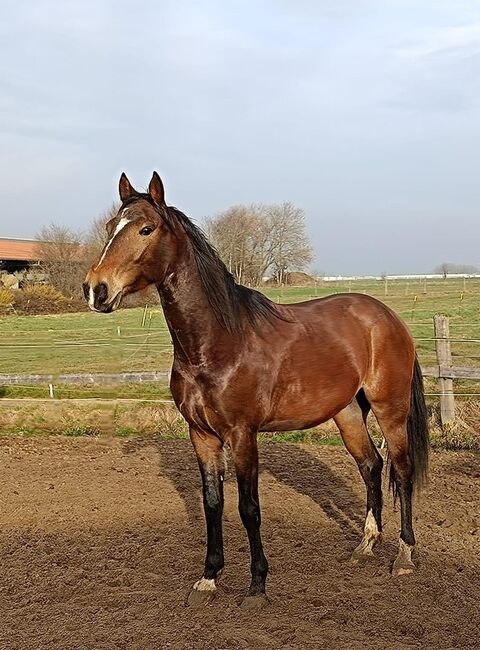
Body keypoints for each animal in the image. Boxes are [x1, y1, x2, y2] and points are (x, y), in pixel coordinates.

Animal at [82, 171, 428, 608]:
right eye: (112, 227)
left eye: (146, 228)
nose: (95, 289)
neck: (218, 343)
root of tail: (387, 316)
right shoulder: (202, 435)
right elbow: (213, 503)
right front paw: (208, 579)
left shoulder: (243, 434)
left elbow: (249, 507)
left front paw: (257, 586)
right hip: (347, 412)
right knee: (371, 466)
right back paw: (365, 546)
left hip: (390, 410)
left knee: (402, 470)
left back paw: (404, 556)